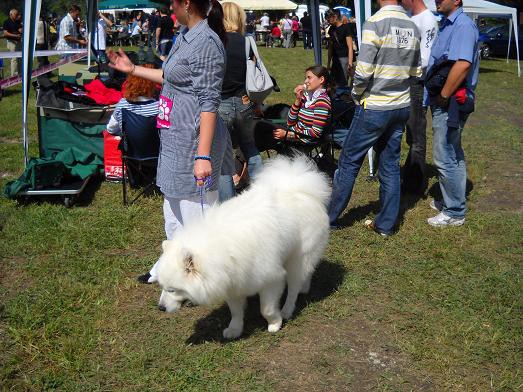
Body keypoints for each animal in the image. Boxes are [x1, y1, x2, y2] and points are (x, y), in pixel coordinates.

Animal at [154, 155, 332, 338]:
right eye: (162, 287)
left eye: (173, 290)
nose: (160, 308)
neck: (220, 250)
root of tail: (297, 188)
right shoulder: (233, 283)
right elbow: (236, 312)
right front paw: (234, 329)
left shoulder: (271, 279)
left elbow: (266, 309)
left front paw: (275, 323)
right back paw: (305, 287)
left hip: (298, 257)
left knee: (293, 287)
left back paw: (287, 310)